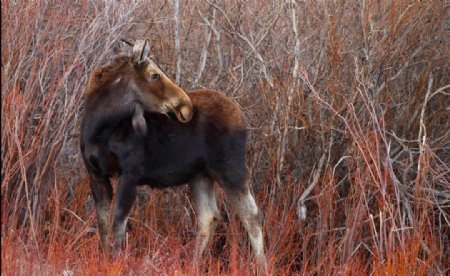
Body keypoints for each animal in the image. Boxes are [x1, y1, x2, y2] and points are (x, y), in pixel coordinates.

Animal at [79, 39, 266, 272]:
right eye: (154, 75)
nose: (186, 106)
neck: (99, 129)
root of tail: (242, 117)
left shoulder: (130, 174)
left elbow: (118, 225)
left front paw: (114, 263)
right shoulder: (96, 174)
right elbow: (103, 226)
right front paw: (104, 261)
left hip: (231, 169)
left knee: (251, 215)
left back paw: (263, 267)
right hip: (201, 175)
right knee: (209, 217)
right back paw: (193, 266)